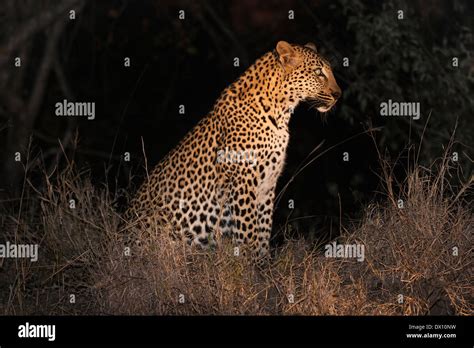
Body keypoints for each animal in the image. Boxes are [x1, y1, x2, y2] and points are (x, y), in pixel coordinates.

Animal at [124, 40, 340, 264]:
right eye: (318, 73)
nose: (338, 95)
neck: (281, 113)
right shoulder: (244, 181)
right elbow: (248, 230)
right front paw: (250, 265)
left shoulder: (267, 184)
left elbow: (263, 228)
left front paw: (263, 263)